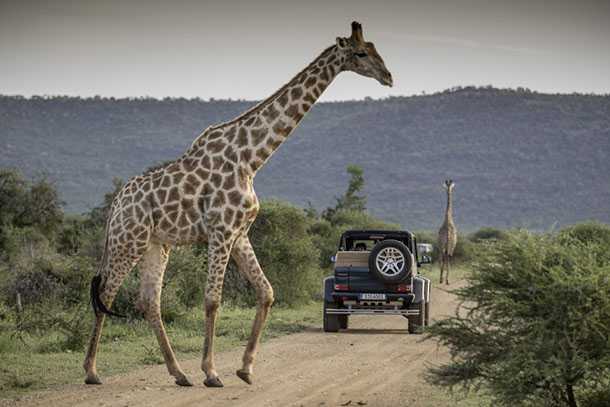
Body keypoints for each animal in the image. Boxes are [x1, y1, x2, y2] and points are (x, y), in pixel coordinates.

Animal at [83, 21, 392, 388]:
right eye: (360, 53)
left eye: (374, 49)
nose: (388, 76)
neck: (250, 158)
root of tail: (116, 203)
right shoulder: (220, 230)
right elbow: (212, 300)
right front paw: (211, 372)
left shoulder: (239, 232)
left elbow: (267, 292)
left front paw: (245, 368)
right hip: (127, 241)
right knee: (106, 294)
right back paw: (92, 372)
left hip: (155, 245)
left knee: (148, 302)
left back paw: (179, 373)